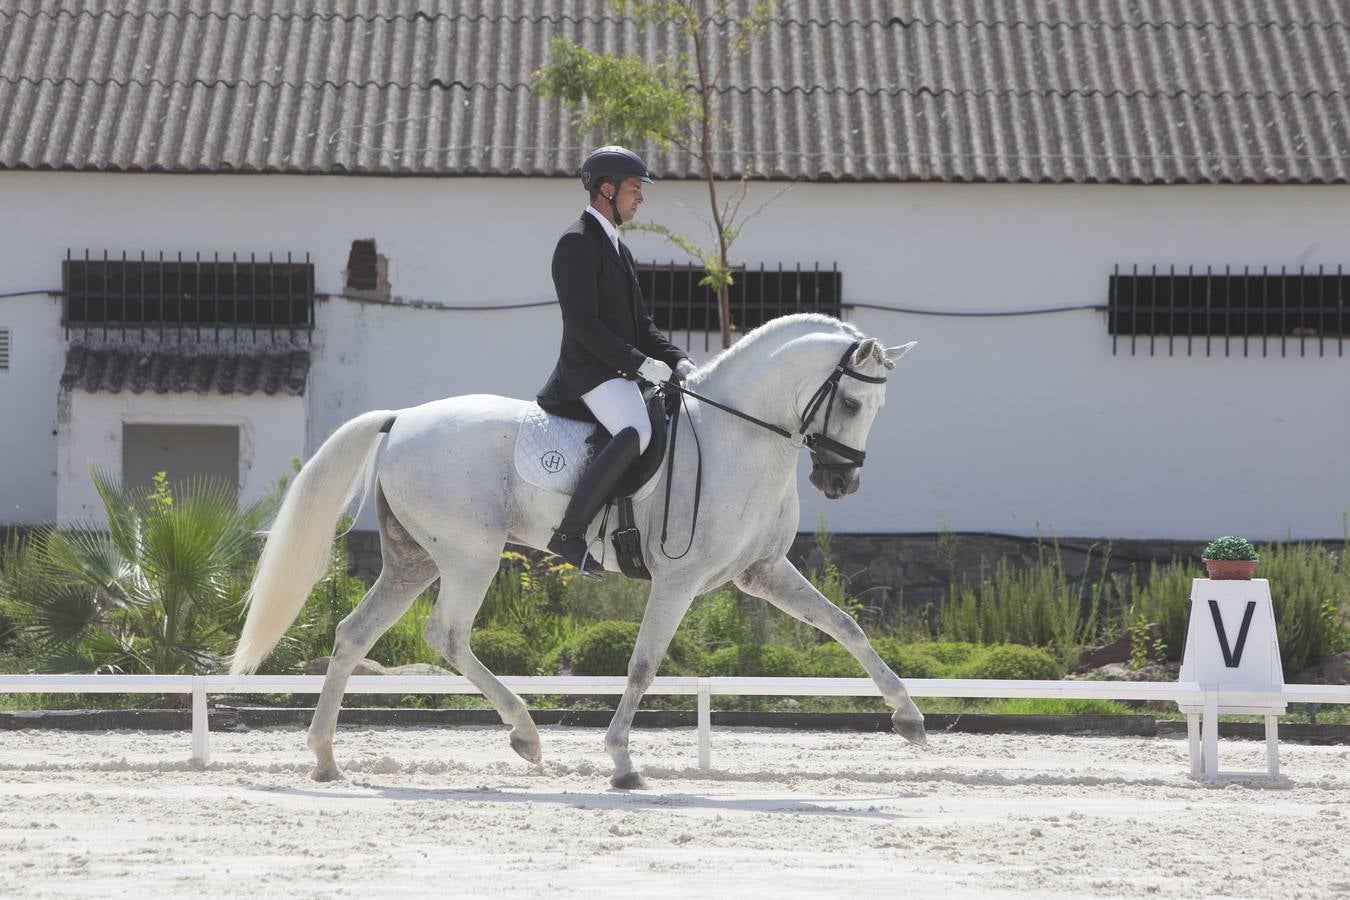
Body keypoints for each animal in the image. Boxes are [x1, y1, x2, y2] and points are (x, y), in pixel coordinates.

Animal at [234, 311, 928, 788]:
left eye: (879, 406)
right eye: (852, 401)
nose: (840, 483)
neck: (739, 437)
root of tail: (402, 418)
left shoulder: (761, 572)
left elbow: (846, 626)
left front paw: (909, 719)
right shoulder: (679, 579)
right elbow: (644, 666)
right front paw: (622, 761)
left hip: (415, 560)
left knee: (355, 634)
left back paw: (326, 759)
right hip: (469, 555)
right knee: (447, 636)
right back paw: (525, 734)